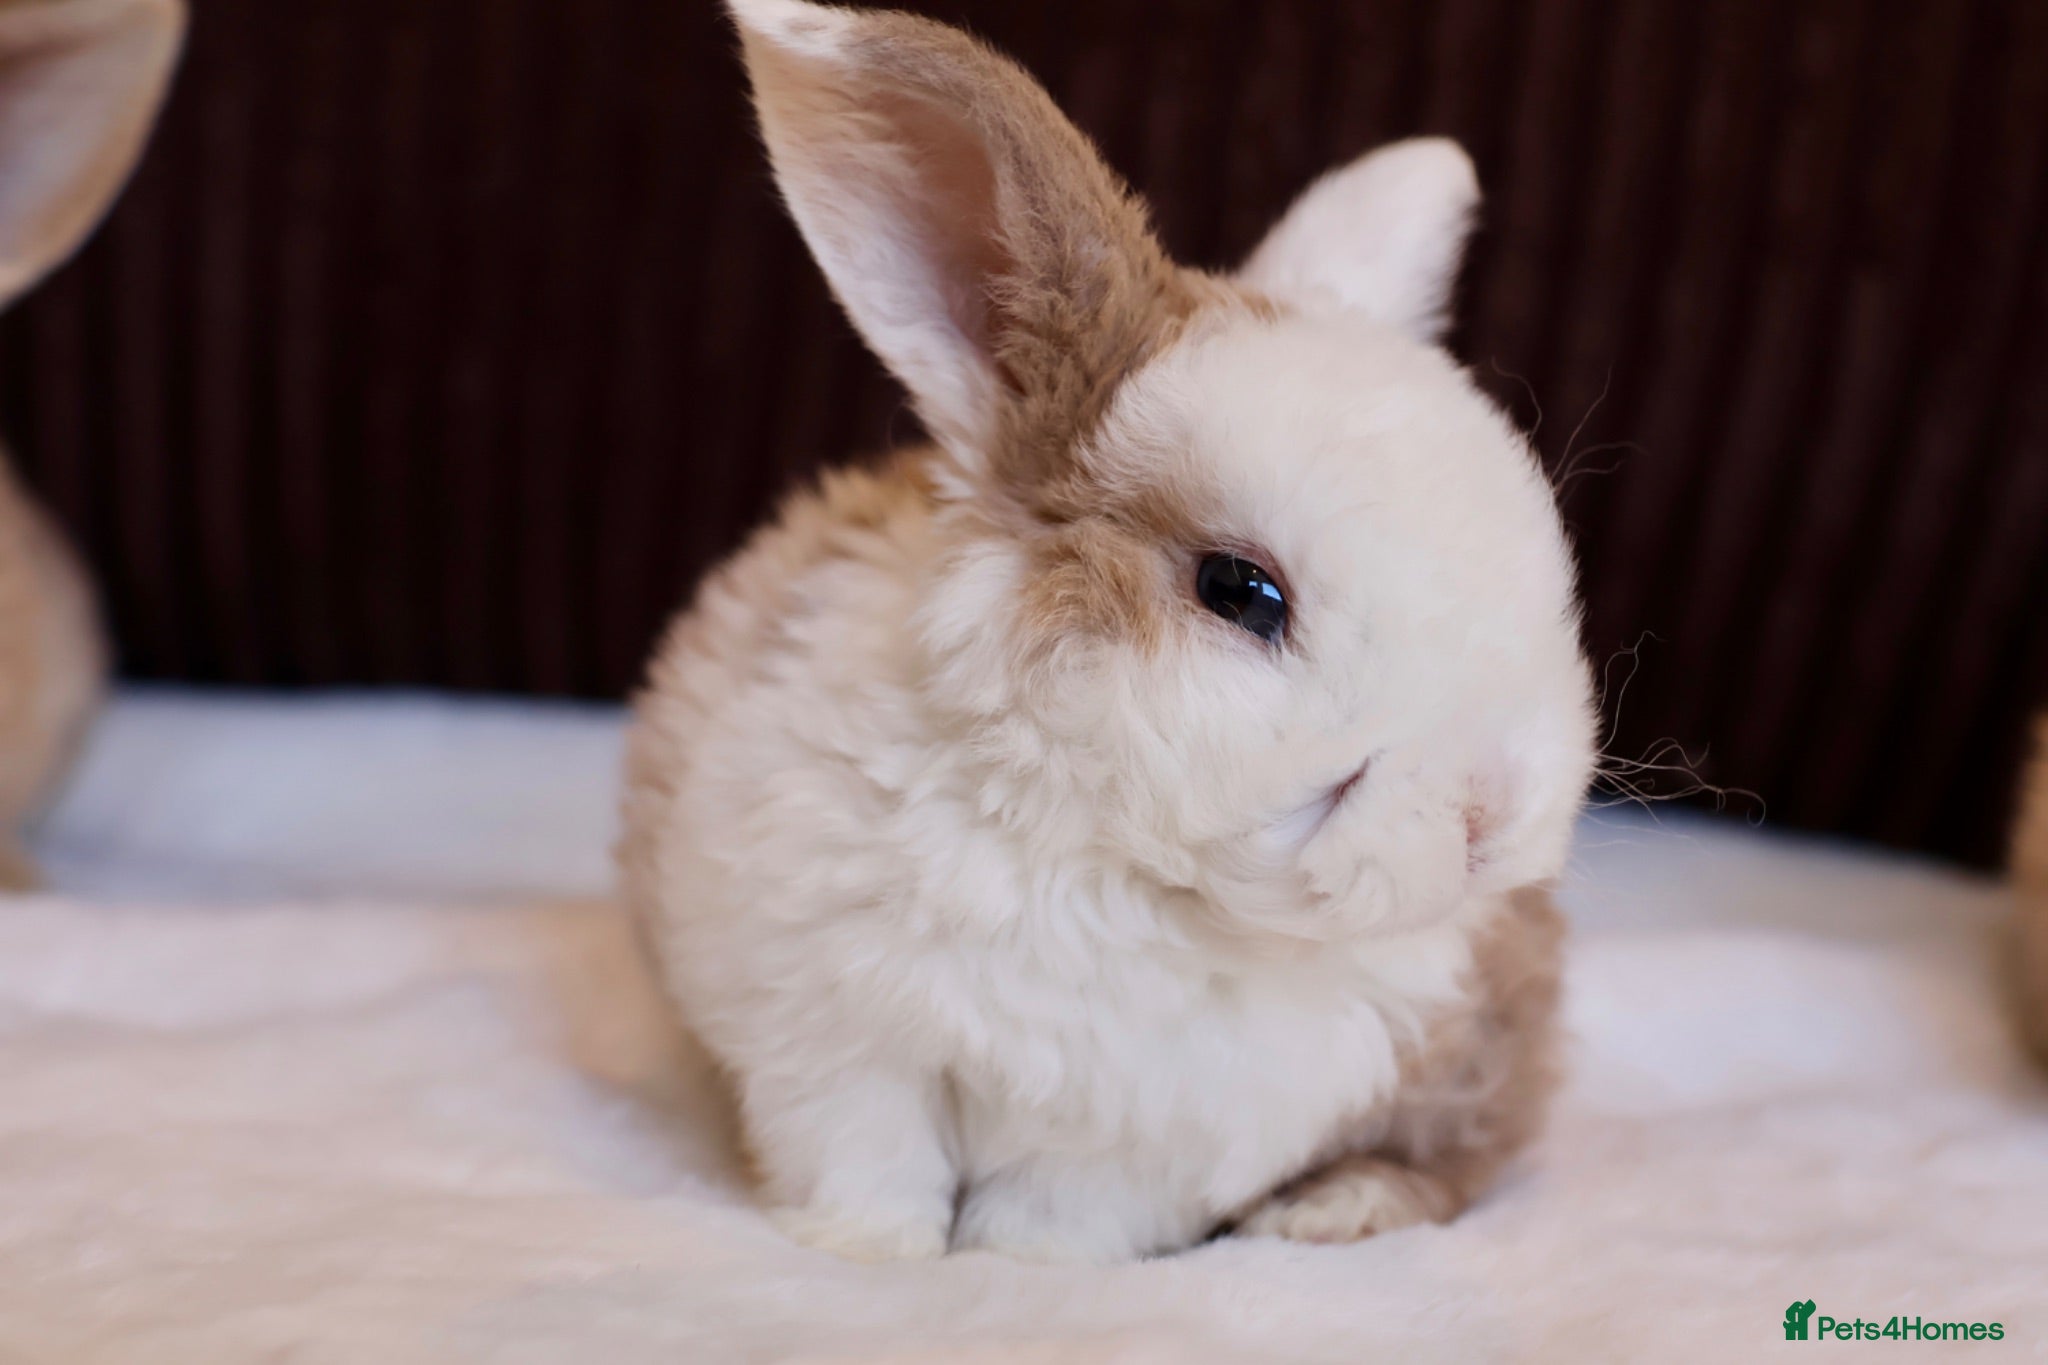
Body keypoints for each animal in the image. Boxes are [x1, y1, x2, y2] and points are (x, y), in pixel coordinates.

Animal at [621, 0, 1596, 1263]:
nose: (1489, 818)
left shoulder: (1137, 1144)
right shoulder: (832, 1046)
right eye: (1240, 590)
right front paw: (868, 1255)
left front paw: (1016, 1269)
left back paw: (1329, 1209)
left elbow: (1054, 1212)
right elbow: (866, 1165)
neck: (1105, 850)